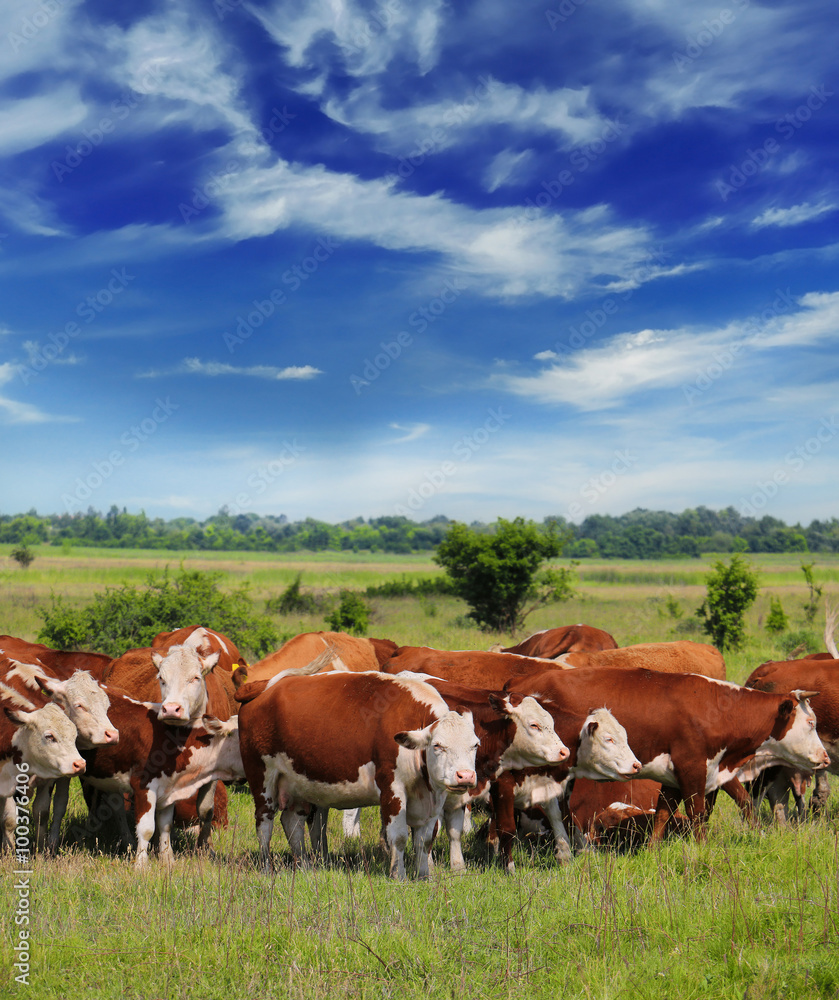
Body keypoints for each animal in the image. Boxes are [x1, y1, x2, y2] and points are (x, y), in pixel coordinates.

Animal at [236, 672, 480, 876]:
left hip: (297, 784)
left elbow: (425, 839)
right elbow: (399, 837)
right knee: (264, 824)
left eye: (475, 745)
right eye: (437, 746)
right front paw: (398, 875)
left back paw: (304, 866)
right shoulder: (392, 789)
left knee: (292, 822)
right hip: (263, 780)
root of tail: (265, 686)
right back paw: (266, 868)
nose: (465, 776)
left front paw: (423, 876)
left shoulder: (432, 798)